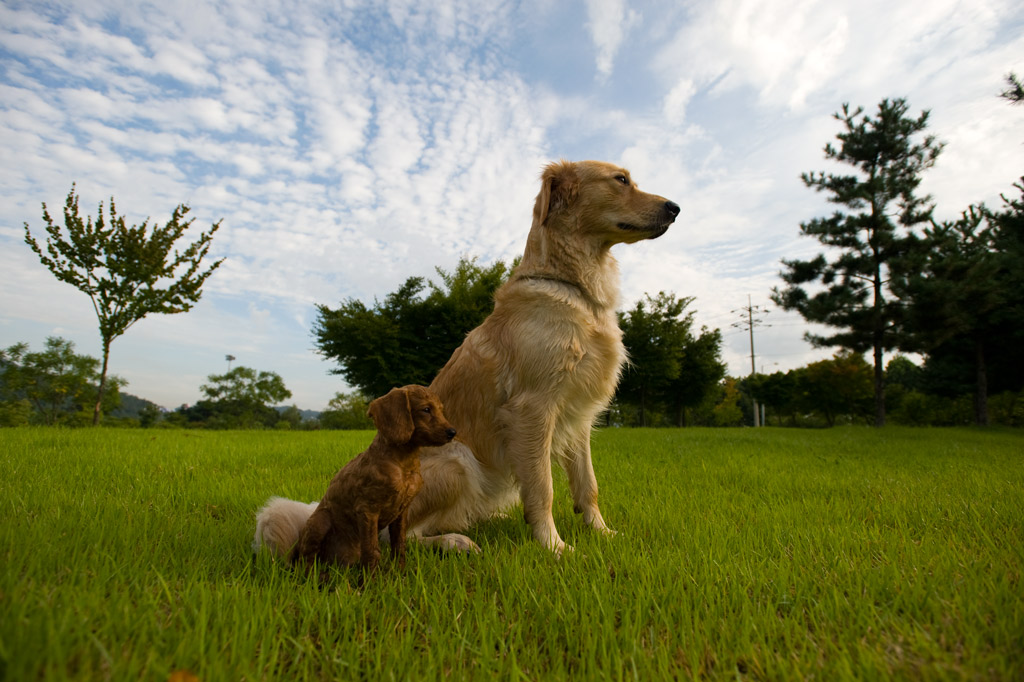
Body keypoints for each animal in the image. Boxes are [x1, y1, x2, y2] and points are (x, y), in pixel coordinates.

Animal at [284, 385, 452, 569]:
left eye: (442, 410)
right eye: (426, 409)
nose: (452, 432)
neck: (403, 465)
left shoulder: (401, 512)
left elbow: (399, 544)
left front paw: (400, 572)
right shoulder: (367, 509)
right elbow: (372, 551)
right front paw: (370, 578)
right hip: (319, 521)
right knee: (306, 560)